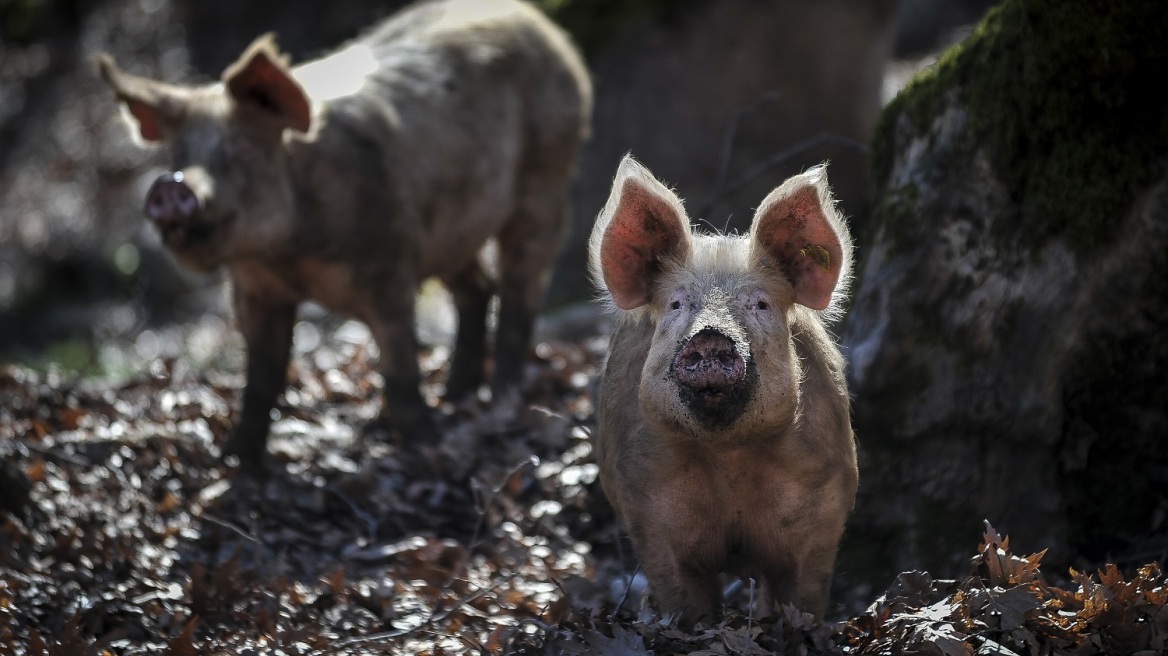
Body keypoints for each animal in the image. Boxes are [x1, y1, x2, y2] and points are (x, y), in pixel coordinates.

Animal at [98, 0, 593, 464]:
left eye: (243, 146)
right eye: (178, 155)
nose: (172, 185)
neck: (290, 257)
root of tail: (544, 28)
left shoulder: (390, 268)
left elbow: (400, 369)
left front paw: (426, 445)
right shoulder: (254, 289)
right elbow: (261, 377)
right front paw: (235, 460)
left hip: (547, 182)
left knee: (520, 293)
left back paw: (500, 403)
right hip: (453, 231)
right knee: (477, 288)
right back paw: (456, 397)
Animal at [593, 152, 859, 616]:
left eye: (761, 304)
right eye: (677, 304)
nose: (711, 336)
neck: (727, 457)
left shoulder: (823, 504)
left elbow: (804, 599)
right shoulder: (647, 510)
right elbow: (686, 603)